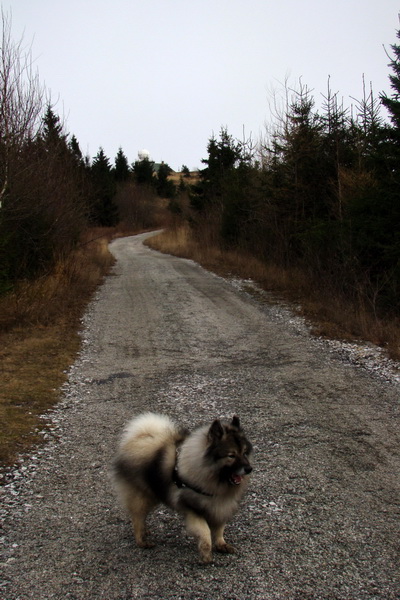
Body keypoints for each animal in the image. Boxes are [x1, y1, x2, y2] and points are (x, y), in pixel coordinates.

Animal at [112, 412, 252, 564]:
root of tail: (140, 437)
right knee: (137, 517)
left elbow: (220, 528)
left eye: (245, 453)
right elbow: (205, 531)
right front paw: (206, 555)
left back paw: (145, 531)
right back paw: (141, 540)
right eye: (231, 455)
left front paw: (221, 544)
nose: (249, 469)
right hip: (141, 496)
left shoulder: (221, 505)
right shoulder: (193, 509)